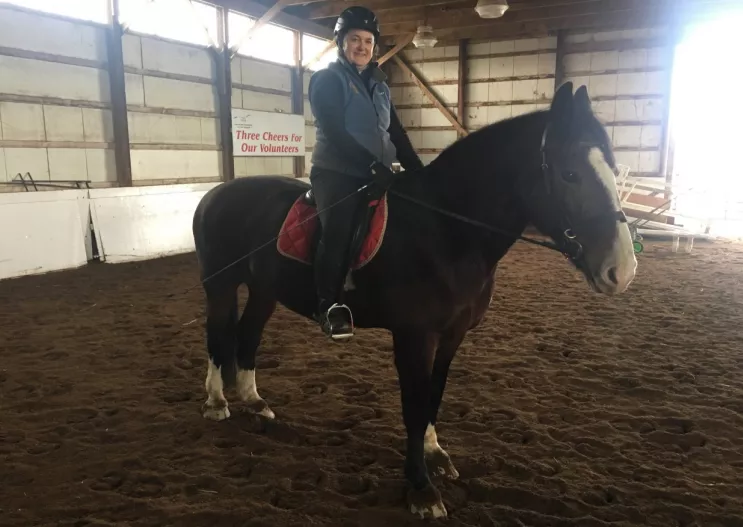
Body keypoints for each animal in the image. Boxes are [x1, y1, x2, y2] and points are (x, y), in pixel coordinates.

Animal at [190, 82, 632, 520]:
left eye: (612, 167)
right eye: (570, 174)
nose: (622, 270)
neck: (445, 229)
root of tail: (217, 193)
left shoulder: (451, 335)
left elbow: (433, 395)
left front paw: (436, 456)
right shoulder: (414, 337)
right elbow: (414, 407)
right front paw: (421, 490)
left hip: (264, 290)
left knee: (247, 336)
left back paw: (254, 402)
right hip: (220, 285)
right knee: (217, 336)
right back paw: (216, 402)